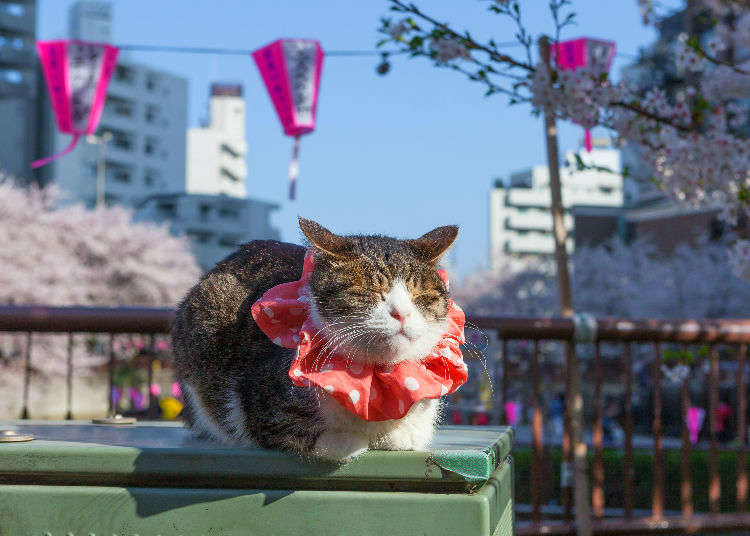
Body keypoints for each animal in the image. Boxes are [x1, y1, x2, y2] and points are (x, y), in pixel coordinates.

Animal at [173, 217, 462, 460]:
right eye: (369, 291)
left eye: (420, 295)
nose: (401, 313)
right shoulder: (258, 406)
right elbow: (304, 434)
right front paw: (349, 441)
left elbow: (414, 433)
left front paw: (399, 433)